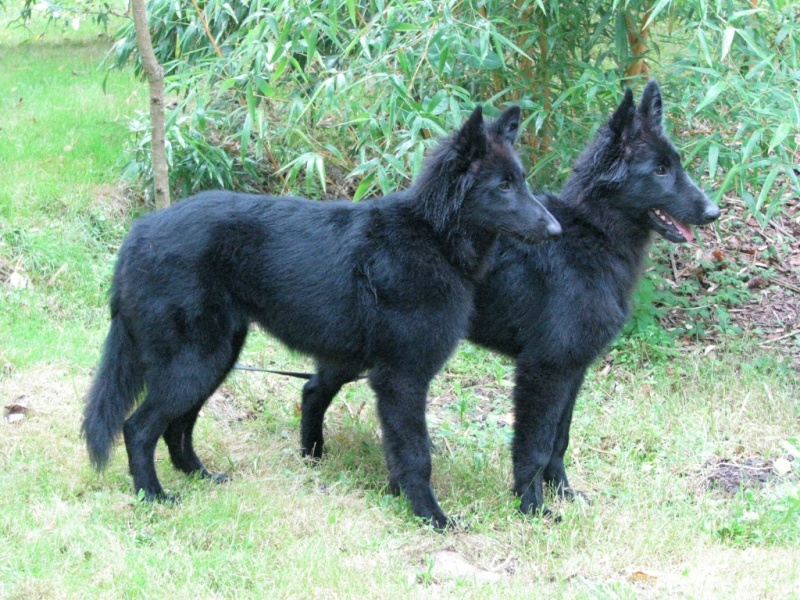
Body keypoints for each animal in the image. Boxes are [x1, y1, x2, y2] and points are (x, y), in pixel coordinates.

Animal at [79, 105, 556, 528]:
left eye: (522, 182)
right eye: (503, 187)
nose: (555, 230)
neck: (432, 237)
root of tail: (140, 232)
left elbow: (397, 449)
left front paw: (401, 499)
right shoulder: (402, 379)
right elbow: (417, 454)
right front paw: (430, 517)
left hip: (214, 361)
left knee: (178, 424)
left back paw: (198, 475)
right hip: (194, 363)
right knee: (138, 428)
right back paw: (153, 496)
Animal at [466, 79, 720, 516]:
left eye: (677, 164)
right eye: (659, 170)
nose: (713, 211)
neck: (591, 235)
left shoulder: (574, 368)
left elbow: (559, 440)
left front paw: (563, 493)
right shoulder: (545, 368)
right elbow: (534, 446)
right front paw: (533, 509)